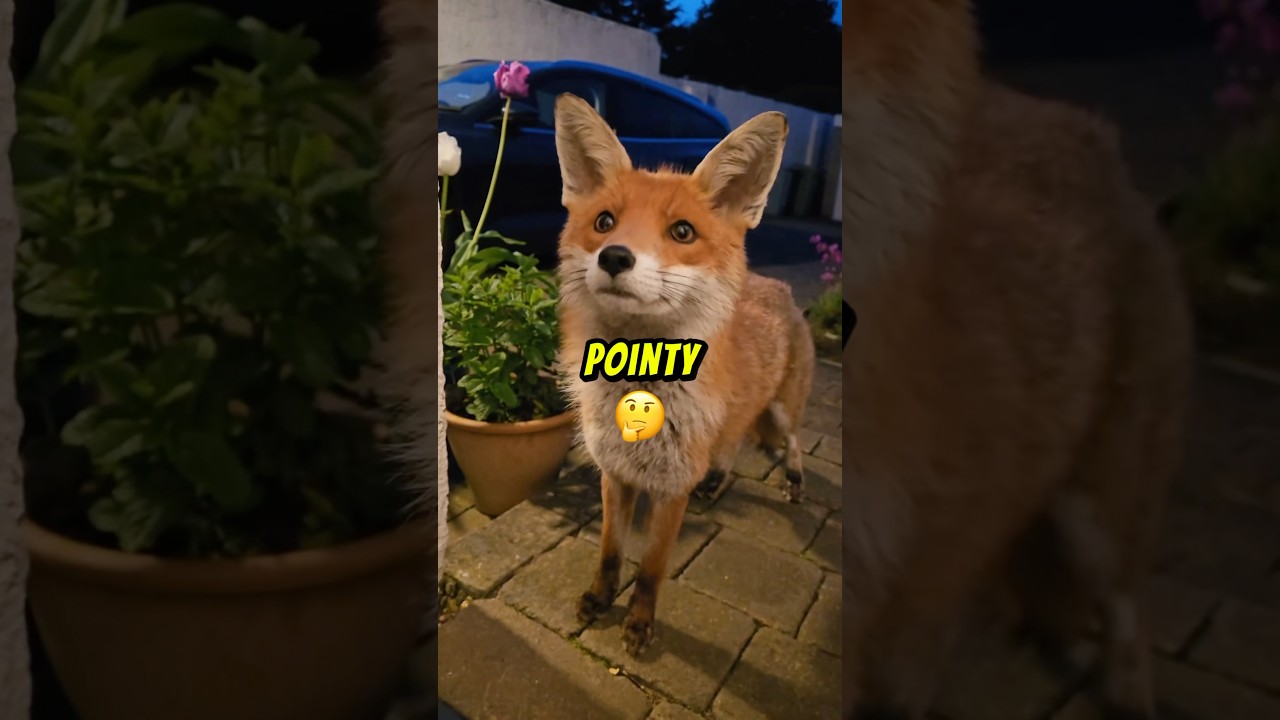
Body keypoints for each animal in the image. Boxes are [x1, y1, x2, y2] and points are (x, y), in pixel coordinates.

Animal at [552, 93, 816, 655]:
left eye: (682, 232)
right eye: (604, 222)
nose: (614, 257)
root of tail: (778, 286)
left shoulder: (671, 488)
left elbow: (650, 569)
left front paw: (638, 623)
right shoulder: (615, 474)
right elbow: (611, 551)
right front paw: (599, 598)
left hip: (784, 410)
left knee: (793, 442)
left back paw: (794, 482)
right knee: (733, 444)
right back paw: (717, 482)